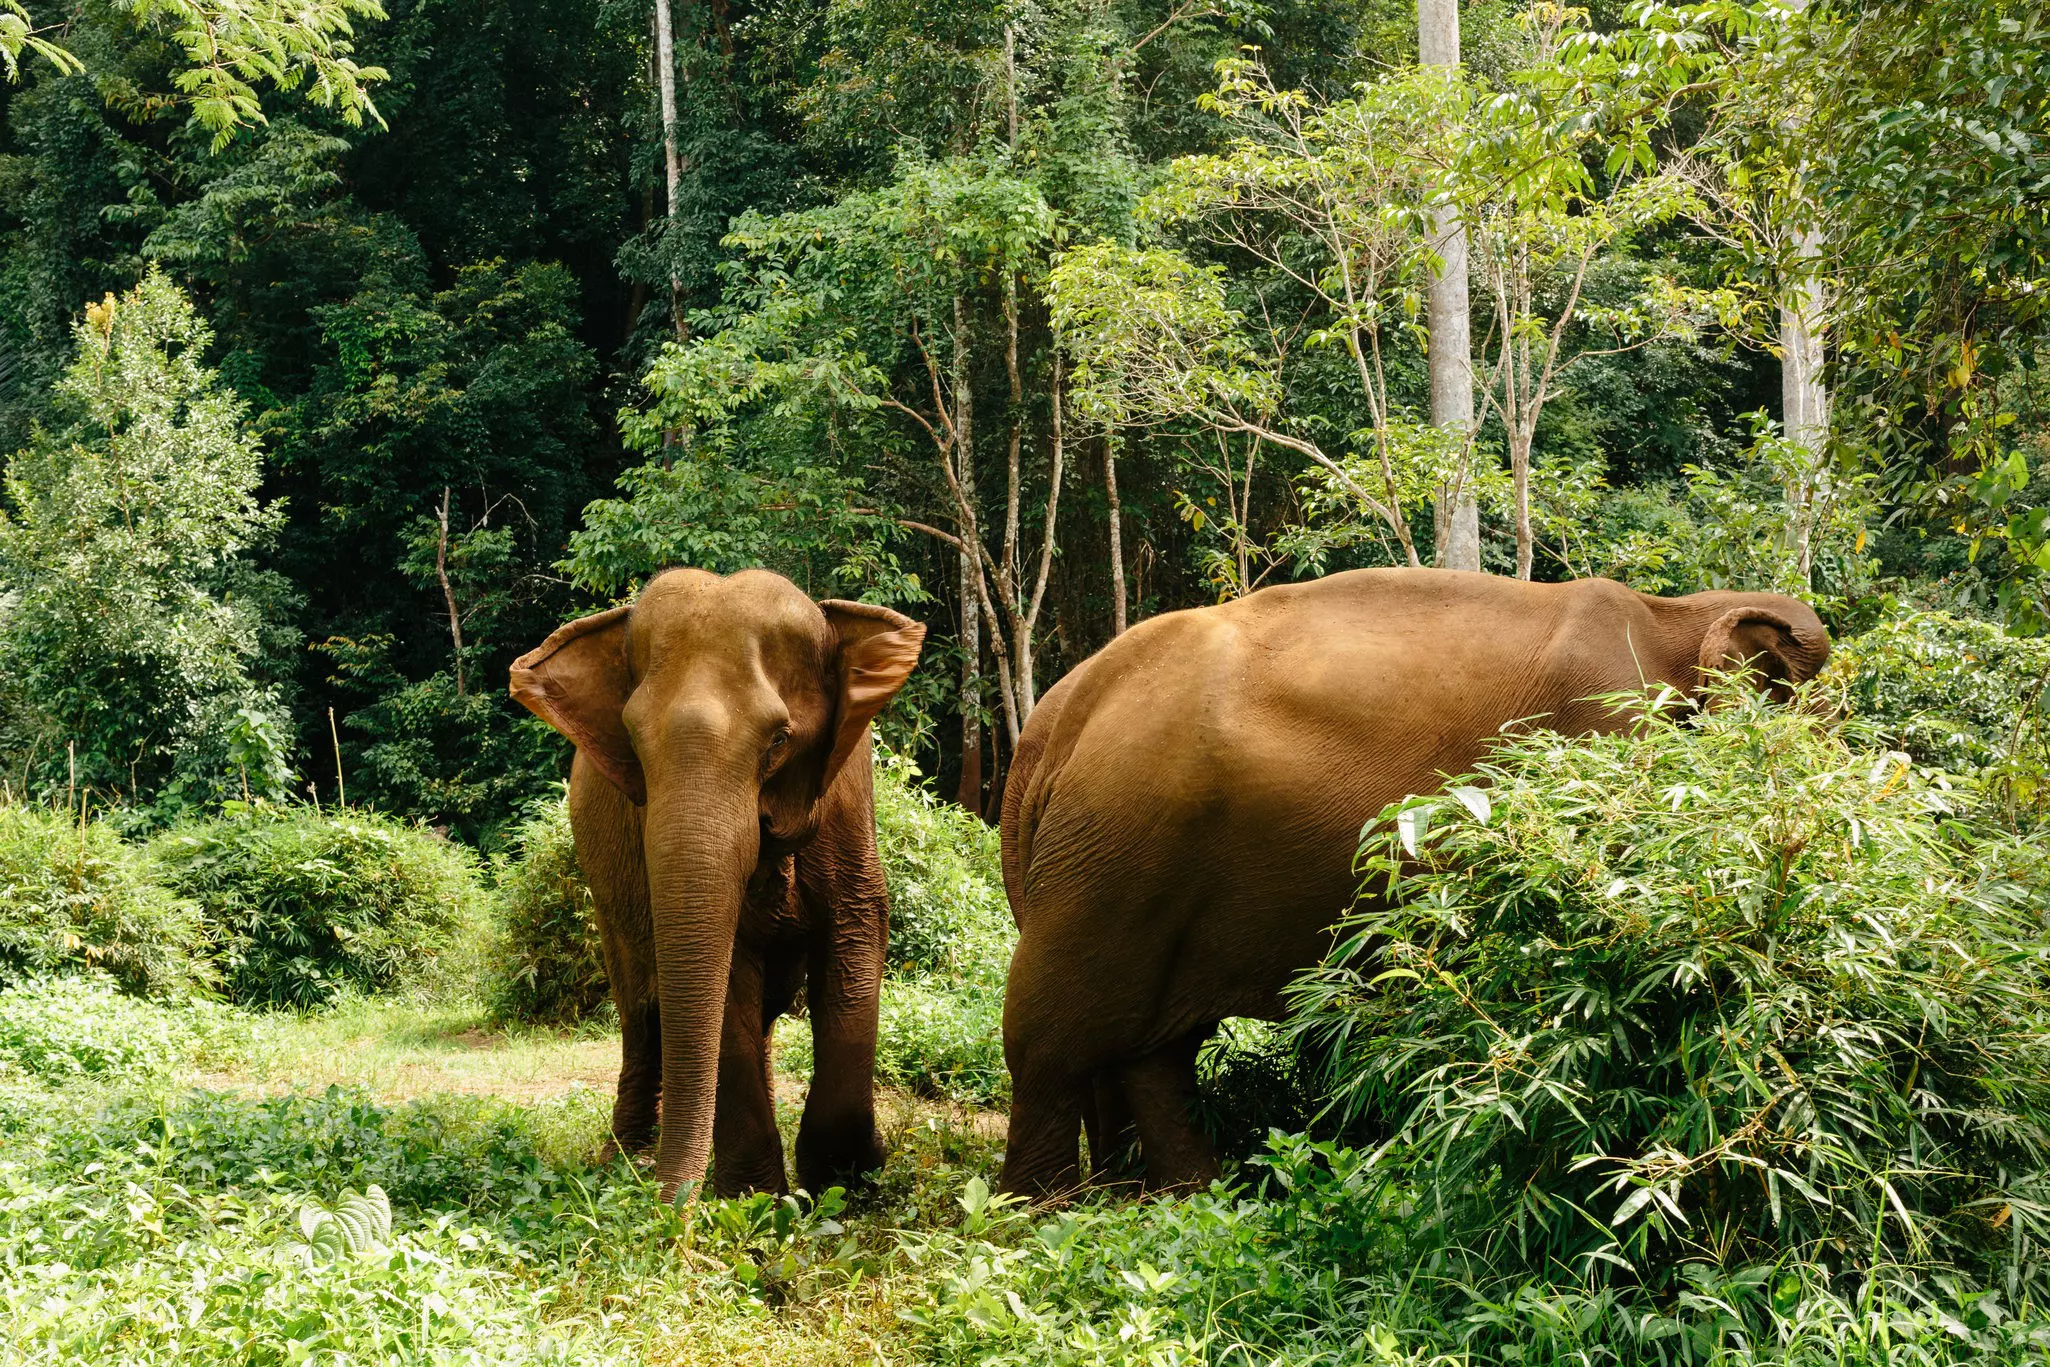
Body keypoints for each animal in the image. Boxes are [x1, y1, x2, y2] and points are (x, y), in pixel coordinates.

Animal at [509, 568, 925, 1200]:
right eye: (633, 744)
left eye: (779, 739)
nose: (669, 1212)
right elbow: (726, 969)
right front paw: (754, 1197)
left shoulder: (847, 800)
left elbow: (855, 937)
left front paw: (849, 1178)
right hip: (602, 886)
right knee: (641, 1009)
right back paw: (625, 1159)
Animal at [995, 568, 1829, 1198]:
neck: (1676, 612)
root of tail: (1052, 725)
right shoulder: (1610, 739)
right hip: (1114, 851)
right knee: (1049, 1043)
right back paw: (1042, 1211)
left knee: (1151, 1054)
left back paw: (1184, 1198)